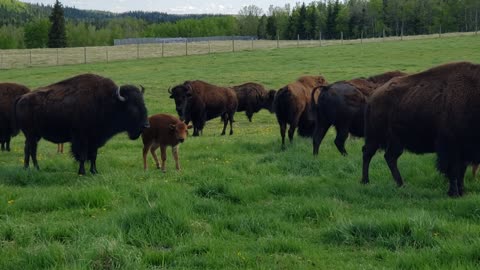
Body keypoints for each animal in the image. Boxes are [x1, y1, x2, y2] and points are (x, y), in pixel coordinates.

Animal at [15, 73, 148, 175]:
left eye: (143, 103)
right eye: (132, 108)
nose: (146, 126)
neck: (108, 101)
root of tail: (22, 98)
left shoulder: (95, 139)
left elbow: (93, 155)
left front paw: (94, 171)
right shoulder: (81, 138)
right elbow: (82, 156)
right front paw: (82, 172)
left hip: (35, 136)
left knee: (30, 149)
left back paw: (31, 168)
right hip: (31, 135)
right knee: (30, 149)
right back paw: (32, 168)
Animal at [362, 61, 480, 196]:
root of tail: (373, 97)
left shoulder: (464, 150)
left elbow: (461, 171)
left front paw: (462, 191)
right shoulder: (451, 147)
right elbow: (453, 171)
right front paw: (454, 193)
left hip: (396, 142)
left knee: (390, 157)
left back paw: (401, 184)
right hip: (374, 137)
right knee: (367, 153)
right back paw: (365, 181)